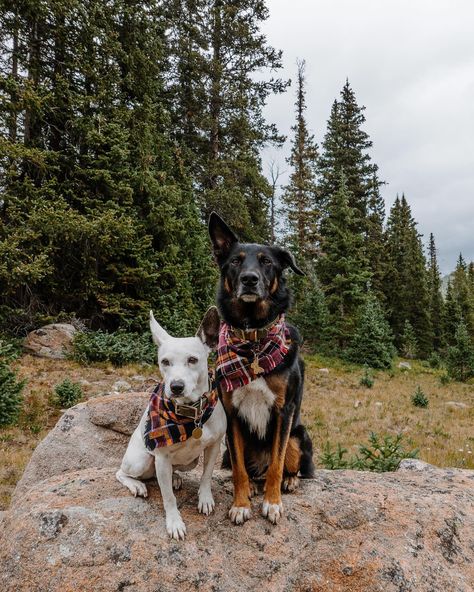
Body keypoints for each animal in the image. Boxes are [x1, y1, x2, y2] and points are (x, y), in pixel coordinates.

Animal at [115, 308, 225, 540]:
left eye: (193, 359)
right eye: (164, 362)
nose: (176, 386)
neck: (191, 414)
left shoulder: (213, 446)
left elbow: (206, 475)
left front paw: (205, 499)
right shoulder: (162, 458)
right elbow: (168, 498)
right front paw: (174, 523)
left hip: (189, 462)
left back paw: (174, 478)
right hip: (140, 461)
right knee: (121, 472)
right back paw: (136, 485)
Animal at [208, 212, 314, 524]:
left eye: (267, 262)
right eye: (235, 261)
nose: (249, 279)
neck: (253, 338)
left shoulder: (283, 410)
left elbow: (277, 464)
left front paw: (273, 502)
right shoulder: (230, 412)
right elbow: (239, 471)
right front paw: (241, 504)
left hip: (298, 434)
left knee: (287, 465)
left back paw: (289, 481)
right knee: (250, 470)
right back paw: (254, 487)